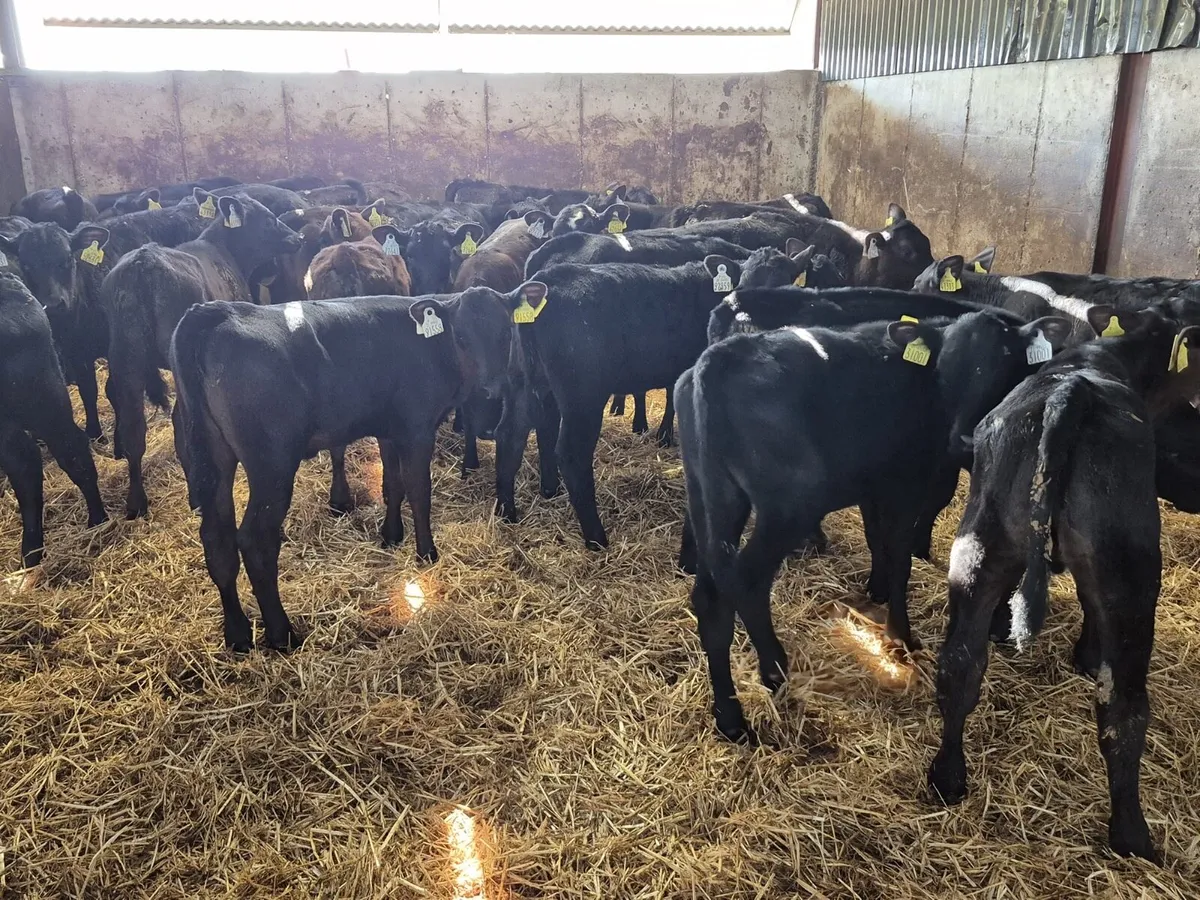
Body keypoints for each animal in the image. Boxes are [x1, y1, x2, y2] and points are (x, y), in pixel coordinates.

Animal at [102, 191, 303, 518]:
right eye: (269, 218)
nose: (298, 238)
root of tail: (144, 261)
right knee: (181, 422)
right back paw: (195, 495)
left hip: (125, 357)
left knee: (134, 427)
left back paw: (136, 503)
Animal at [169, 287, 517, 651]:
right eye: (461, 337)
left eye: (507, 333)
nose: (491, 392)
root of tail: (217, 312)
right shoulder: (418, 428)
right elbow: (419, 492)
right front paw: (427, 554)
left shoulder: (389, 428)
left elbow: (394, 484)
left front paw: (391, 535)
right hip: (271, 465)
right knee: (255, 540)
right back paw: (282, 635)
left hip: (214, 461)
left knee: (217, 541)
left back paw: (237, 634)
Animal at [676, 307, 1072, 744]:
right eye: (946, 370)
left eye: (1005, 365)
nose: (967, 438)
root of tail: (718, 359)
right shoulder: (906, 484)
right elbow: (899, 557)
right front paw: (901, 636)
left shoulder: (875, 484)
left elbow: (876, 539)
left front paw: (876, 590)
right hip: (788, 506)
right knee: (747, 584)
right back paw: (772, 670)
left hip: (715, 498)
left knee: (711, 595)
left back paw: (729, 715)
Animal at [928, 301, 1200, 863]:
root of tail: (1068, 395)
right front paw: (1086, 655)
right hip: (1130, 571)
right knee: (1123, 706)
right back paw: (1132, 836)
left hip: (979, 543)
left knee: (959, 663)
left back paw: (947, 777)